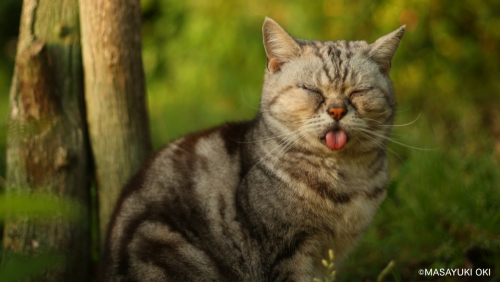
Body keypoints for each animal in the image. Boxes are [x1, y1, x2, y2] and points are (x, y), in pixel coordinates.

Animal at [99, 16, 404, 280]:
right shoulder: (286, 253)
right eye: (312, 90)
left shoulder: (328, 256)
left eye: (358, 92)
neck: (347, 179)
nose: (337, 110)